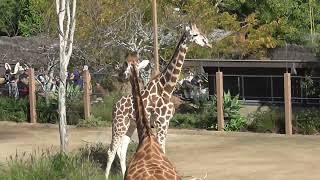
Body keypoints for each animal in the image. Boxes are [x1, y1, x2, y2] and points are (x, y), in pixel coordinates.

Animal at [105, 23, 212, 179]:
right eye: (194, 34)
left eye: (201, 32)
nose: (207, 43)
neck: (166, 88)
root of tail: (115, 104)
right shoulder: (160, 122)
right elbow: (162, 148)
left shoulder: (166, 122)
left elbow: (163, 149)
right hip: (119, 123)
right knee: (111, 150)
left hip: (130, 125)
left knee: (122, 150)